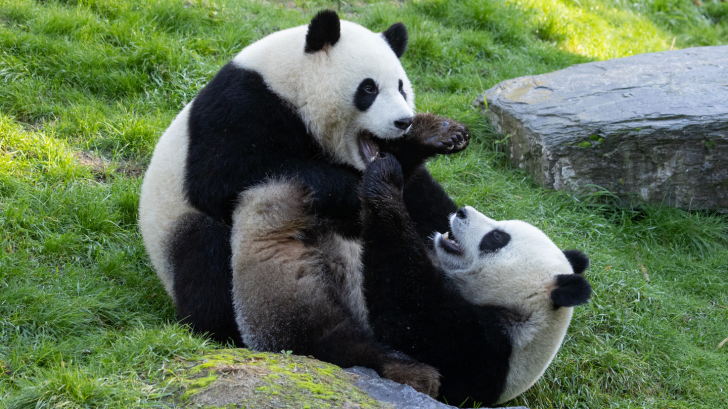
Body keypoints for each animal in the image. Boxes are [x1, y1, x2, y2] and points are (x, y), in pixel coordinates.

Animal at [139, 10, 469, 395]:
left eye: (402, 86)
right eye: (368, 88)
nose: (402, 121)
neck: (291, 83)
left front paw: (437, 134)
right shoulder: (241, 107)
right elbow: (224, 177)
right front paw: (349, 182)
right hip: (180, 231)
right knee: (206, 256)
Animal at [357, 154, 593, 406]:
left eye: (497, 237)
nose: (462, 212)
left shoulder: (478, 351)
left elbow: (404, 303)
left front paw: (385, 182)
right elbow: (429, 205)